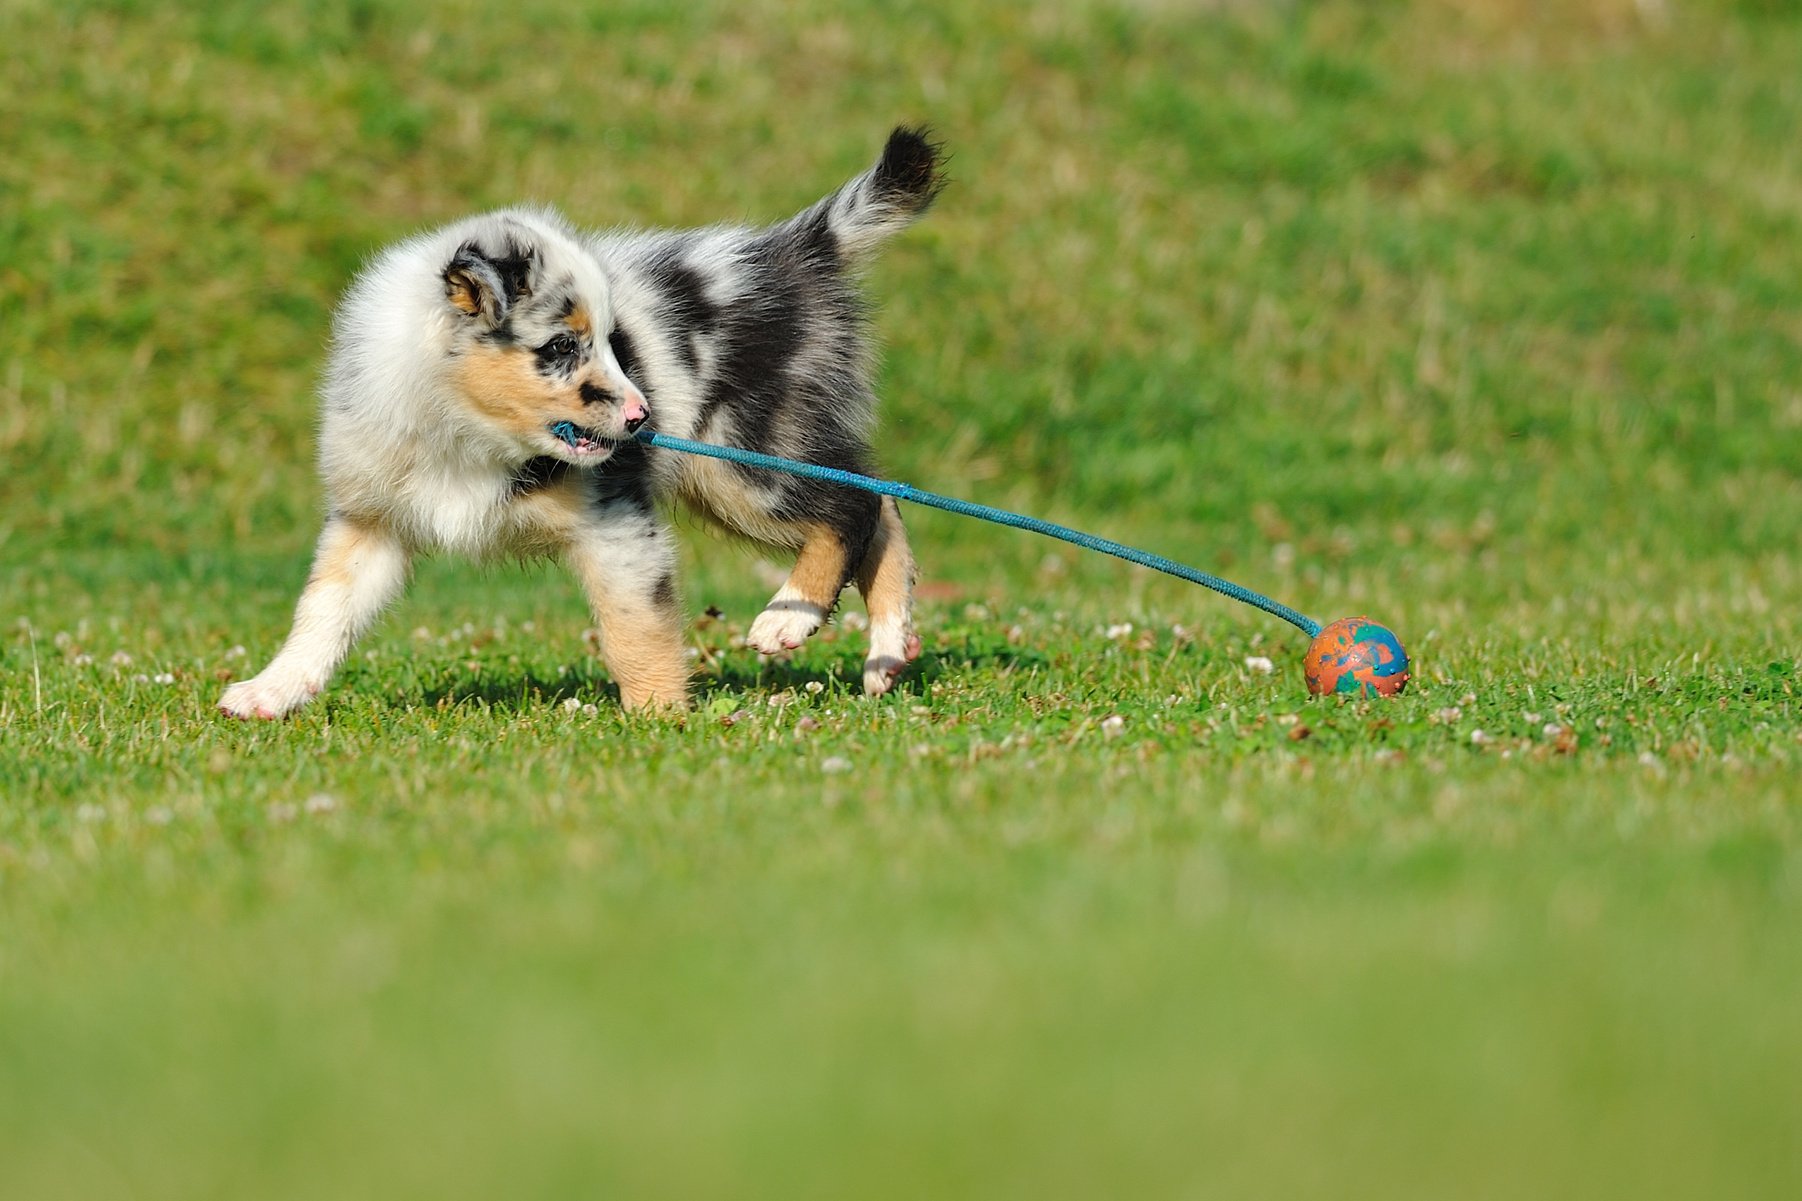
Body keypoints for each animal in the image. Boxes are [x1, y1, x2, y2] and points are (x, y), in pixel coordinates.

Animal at [218, 126, 944, 714]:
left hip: (744, 460)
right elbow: (321, 610)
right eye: (564, 346)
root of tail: (796, 251)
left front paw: (661, 720)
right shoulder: (371, 521)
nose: (644, 415)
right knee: (878, 498)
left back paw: (789, 621)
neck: (464, 432)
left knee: (855, 503)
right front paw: (270, 691)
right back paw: (886, 651)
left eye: (616, 343)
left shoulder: (617, 523)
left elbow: (635, 629)